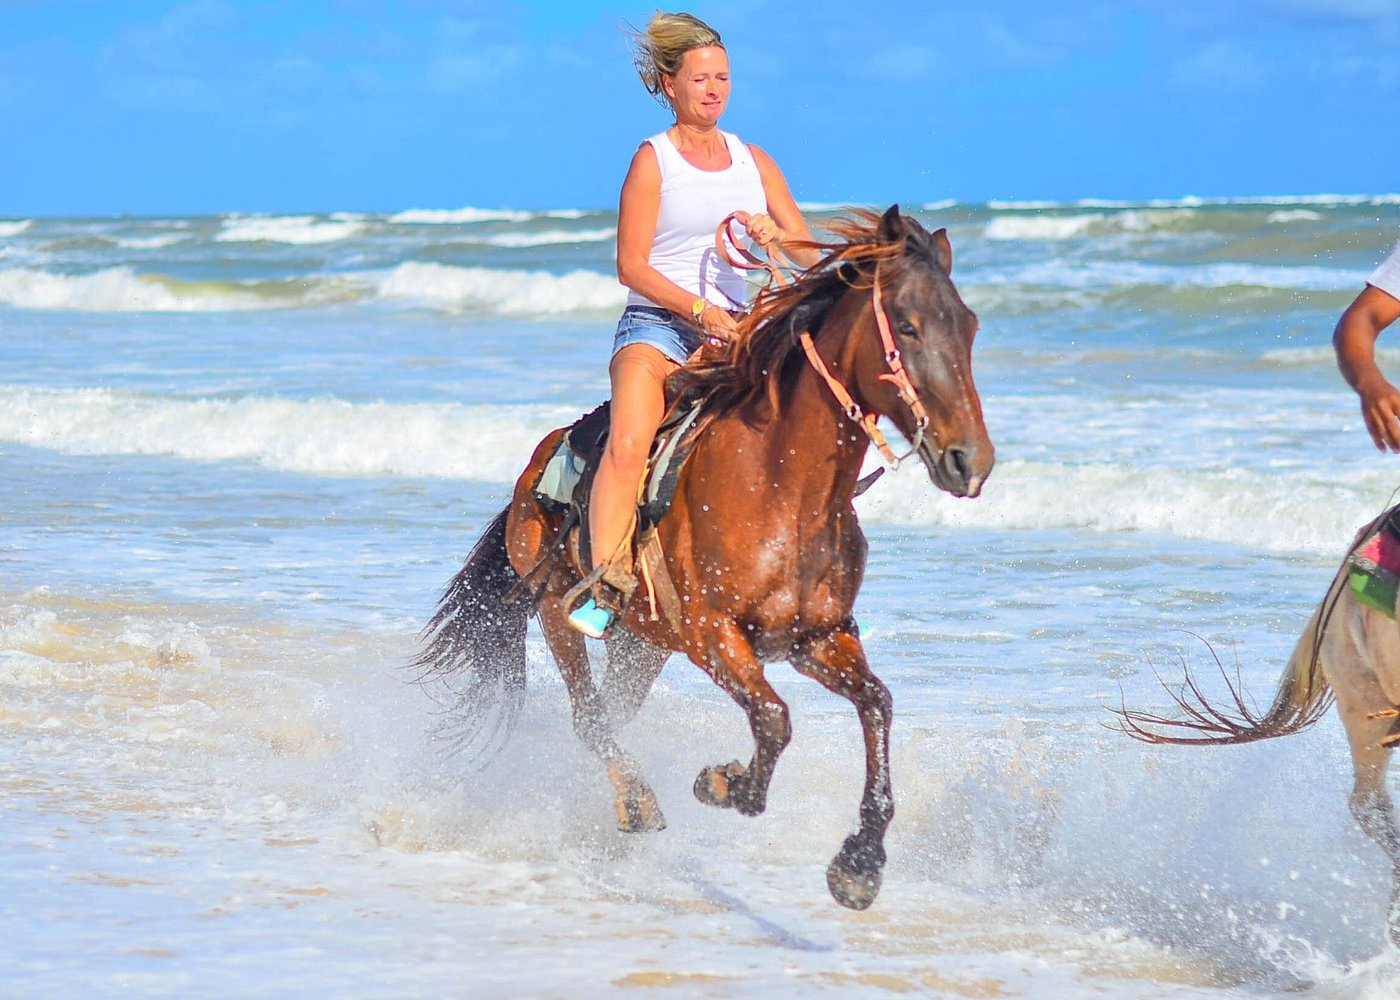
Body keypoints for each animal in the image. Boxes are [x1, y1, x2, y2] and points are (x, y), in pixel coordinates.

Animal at [413, 206, 995, 910]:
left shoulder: (819, 637)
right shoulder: (713, 633)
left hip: (644, 645)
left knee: (614, 712)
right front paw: (722, 783)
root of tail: (536, 465)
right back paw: (638, 802)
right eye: (907, 326)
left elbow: (877, 706)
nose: (970, 460)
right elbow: (774, 719)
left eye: (969, 326)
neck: (783, 488)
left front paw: (859, 864)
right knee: (589, 716)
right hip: (558, 613)